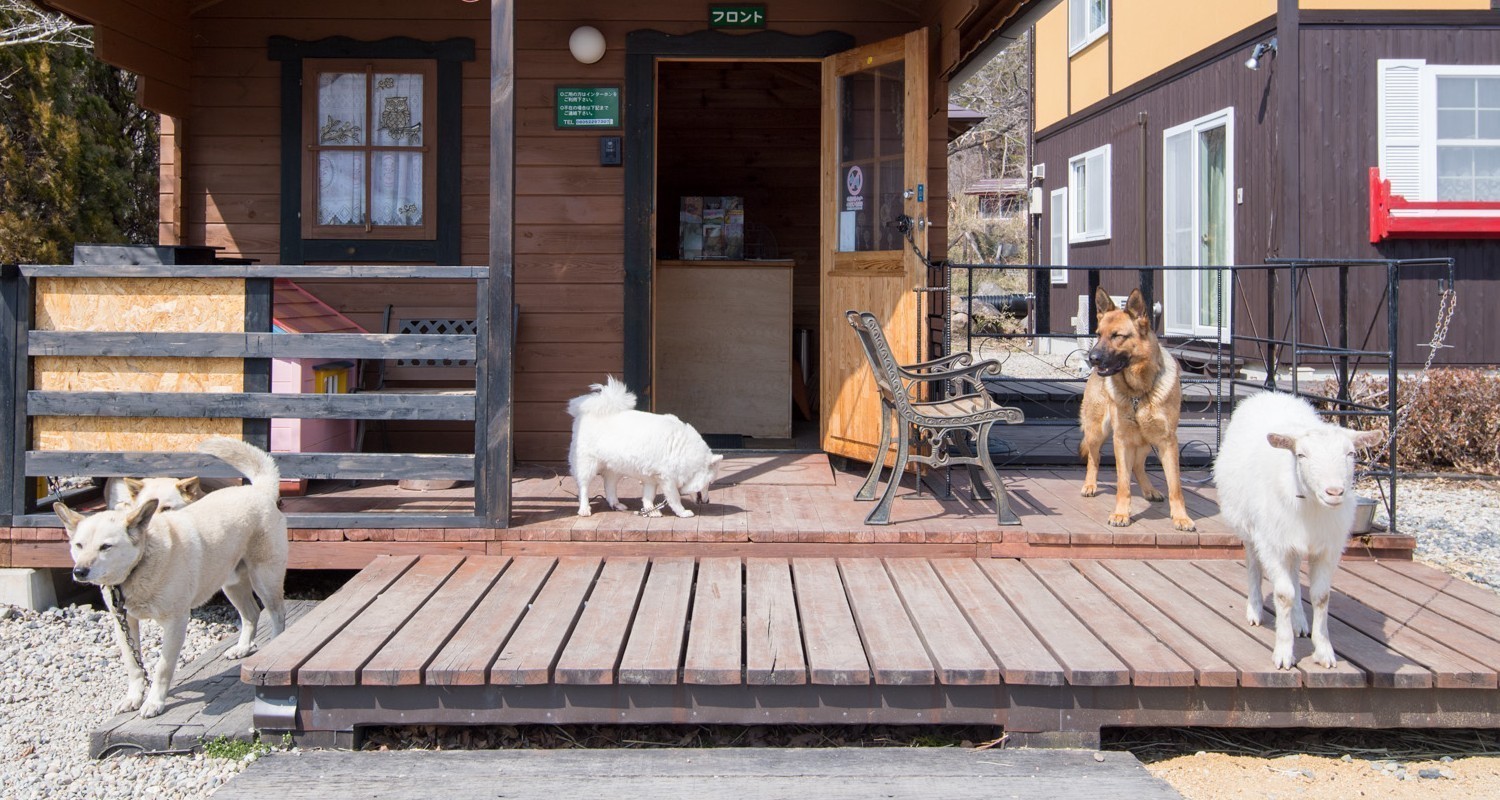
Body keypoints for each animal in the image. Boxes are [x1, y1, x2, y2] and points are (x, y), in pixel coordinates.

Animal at [564, 375, 723, 516]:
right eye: (710, 483)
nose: (707, 501)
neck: (684, 452)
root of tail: (585, 412)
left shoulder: (651, 478)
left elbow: (648, 496)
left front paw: (650, 511)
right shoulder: (667, 480)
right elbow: (675, 499)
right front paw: (682, 512)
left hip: (615, 467)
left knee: (609, 486)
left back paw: (616, 504)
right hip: (587, 466)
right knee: (583, 487)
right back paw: (584, 509)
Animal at [1080, 286, 1194, 531]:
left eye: (1117, 336)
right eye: (1098, 334)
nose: (1092, 358)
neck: (1139, 392)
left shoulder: (1167, 441)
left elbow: (1175, 486)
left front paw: (1181, 517)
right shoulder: (1122, 440)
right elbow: (1123, 483)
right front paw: (1121, 514)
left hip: (1146, 440)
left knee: (1139, 465)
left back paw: (1149, 490)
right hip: (1097, 432)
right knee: (1094, 458)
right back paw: (1090, 485)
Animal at [1206, 390, 1380, 666]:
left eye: (1351, 454)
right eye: (1301, 455)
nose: (1334, 492)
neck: (1310, 505)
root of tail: (1270, 394)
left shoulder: (1327, 548)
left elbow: (1321, 596)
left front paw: (1324, 651)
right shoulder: (1273, 545)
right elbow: (1283, 594)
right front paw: (1284, 653)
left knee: (1296, 572)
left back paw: (1299, 621)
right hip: (1250, 527)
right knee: (1254, 564)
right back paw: (1255, 610)